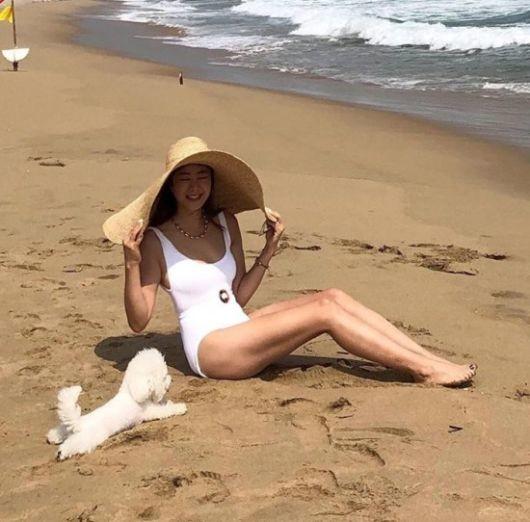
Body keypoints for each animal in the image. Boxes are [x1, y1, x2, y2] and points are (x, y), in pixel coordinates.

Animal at [47, 348, 187, 460]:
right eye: (164, 376)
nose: (171, 379)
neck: (131, 392)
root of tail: (79, 424)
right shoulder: (150, 412)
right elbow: (166, 410)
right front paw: (180, 407)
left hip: (68, 429)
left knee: (62, 430)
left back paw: (53, 437)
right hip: (86, 439)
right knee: (73, 445)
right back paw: (62, 452)